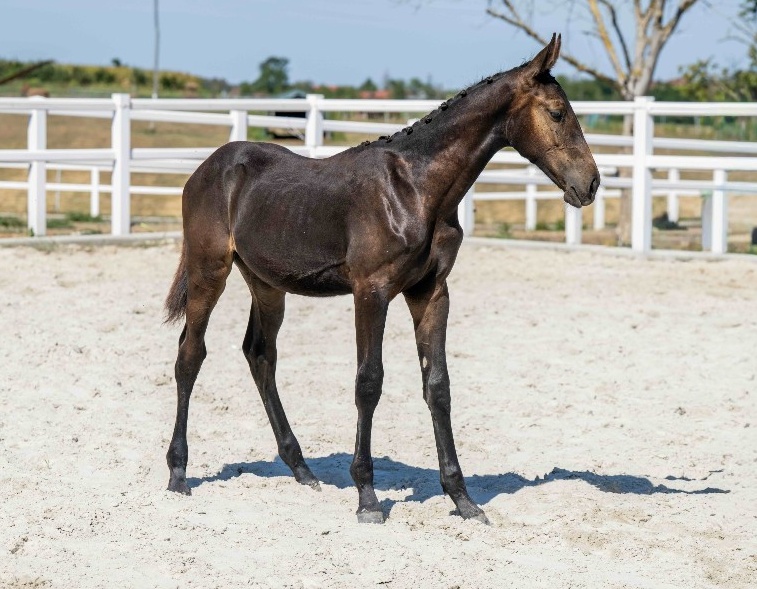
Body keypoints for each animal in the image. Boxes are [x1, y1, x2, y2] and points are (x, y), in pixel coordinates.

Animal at [163, 34, 599, 524]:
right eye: (558, 113)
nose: (591, 184)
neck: (415, 189)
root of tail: (205, 169)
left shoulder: (430, 293)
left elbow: (438, 386)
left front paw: (462, 499)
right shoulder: (371, 292)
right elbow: (368, 383)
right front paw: (368, 498)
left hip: (267, 284)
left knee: (260, 355)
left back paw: (302, 468)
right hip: (209, 272)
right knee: (190, 355)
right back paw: (178, 474)